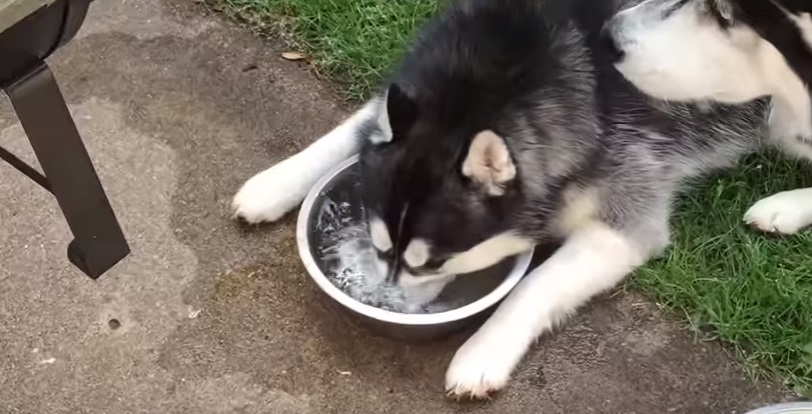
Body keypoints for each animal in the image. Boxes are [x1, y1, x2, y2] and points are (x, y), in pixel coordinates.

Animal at [233, 0, 772, 398]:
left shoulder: (625, 212)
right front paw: (275, 181)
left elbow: (534, 285)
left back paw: (779, 209)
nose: (385, 302)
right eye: (381, 248)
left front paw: (482, 352)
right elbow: (353, 128)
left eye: (433, 263)